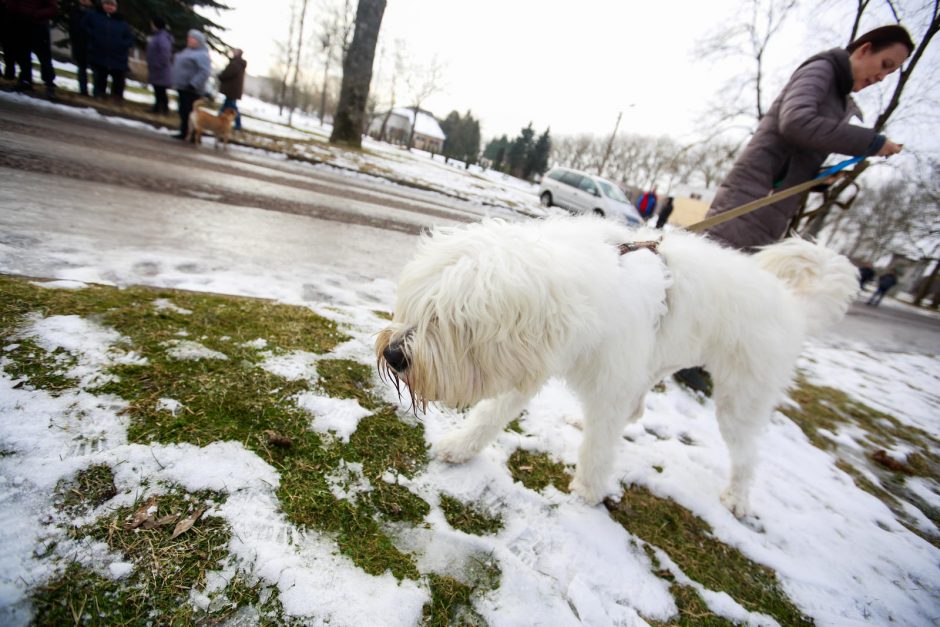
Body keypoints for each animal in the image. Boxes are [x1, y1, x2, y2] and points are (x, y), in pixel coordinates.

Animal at [376, 216, 860, 516]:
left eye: (448, 320)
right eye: (417, 307)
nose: (394, 355)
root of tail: (792, 304)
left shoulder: (608, 376)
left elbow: (600, 442)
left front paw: (589, 491)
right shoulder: (534, 361)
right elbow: (491, 414)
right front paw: (461, 446)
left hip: (742, 394)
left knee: (746, 453)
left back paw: (737, 498)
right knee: (638, 407)